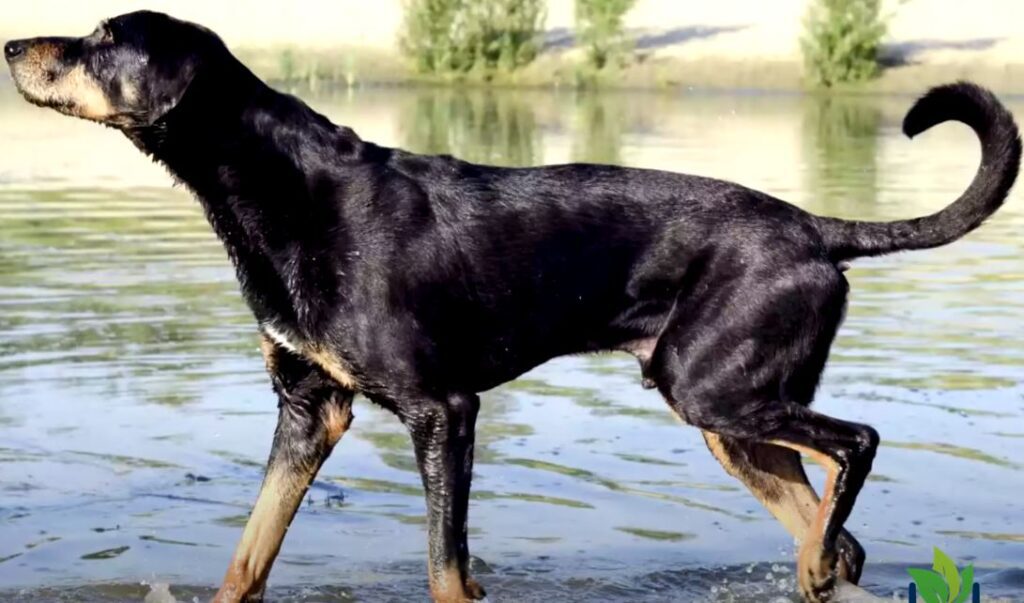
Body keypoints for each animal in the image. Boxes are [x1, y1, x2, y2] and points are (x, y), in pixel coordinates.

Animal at [6, 10, 1015, 601]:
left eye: (104, 38)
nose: (13, 44)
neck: (280, 190)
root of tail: (815, 227)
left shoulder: (442, 411)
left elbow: (445, 568)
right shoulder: (309, 407)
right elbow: (246, 556)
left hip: (717, 392)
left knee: (861, 444)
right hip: (728, 419)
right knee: (839, 540)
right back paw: (816, 568)